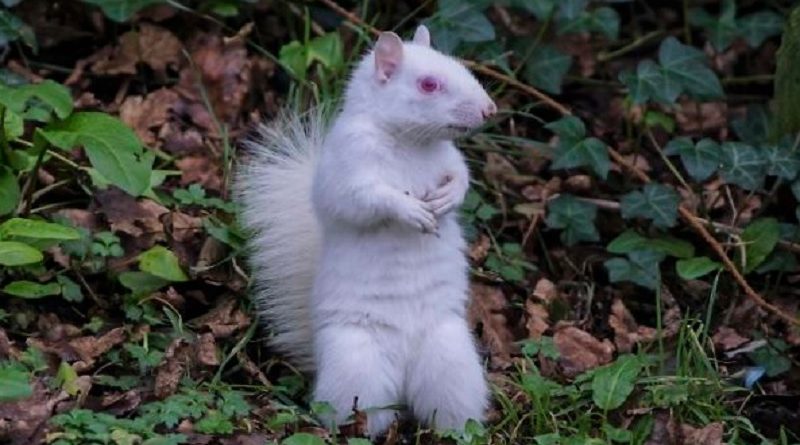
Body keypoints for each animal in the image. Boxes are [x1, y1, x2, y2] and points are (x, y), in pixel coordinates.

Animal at [236, 25, 494, 438]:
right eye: (428, 84)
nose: (489, 109)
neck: (409, 142)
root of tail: (403, 380)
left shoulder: (449, 159)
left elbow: (461, 176)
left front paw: (446, 198)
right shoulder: (348, 165)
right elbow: (364, 199)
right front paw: (411, 211)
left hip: (451, 363)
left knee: (447, 409)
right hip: (357, 366)